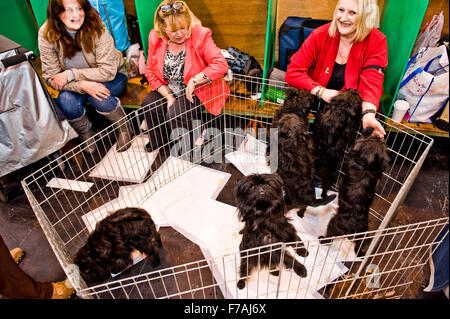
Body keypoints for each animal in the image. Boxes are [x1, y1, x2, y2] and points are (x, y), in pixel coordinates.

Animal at [324, 127, 390, 255]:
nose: (379, 136)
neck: (367, 166)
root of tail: (354, 229)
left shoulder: (352, 153)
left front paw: (368, 129)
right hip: (363, 236)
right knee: (359, 245)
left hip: (333, 225)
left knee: (329, 237)